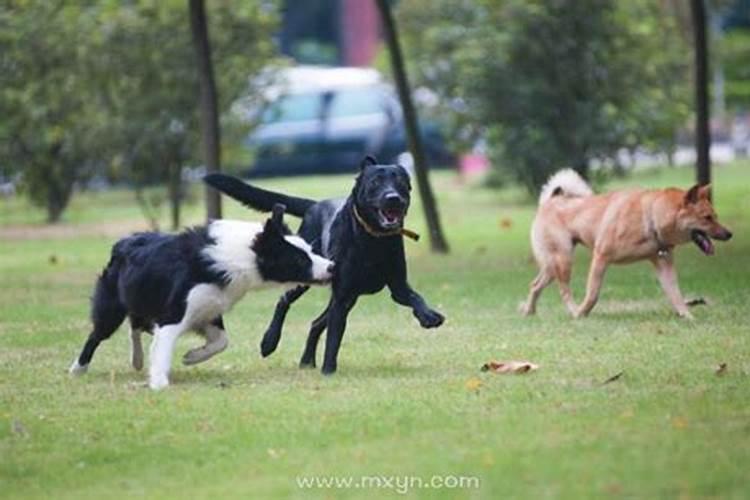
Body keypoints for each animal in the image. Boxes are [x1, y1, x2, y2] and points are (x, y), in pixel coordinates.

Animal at [70, 205, 334, 388]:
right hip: (112, 307)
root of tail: (123, 242)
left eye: (311, 250)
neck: (238, 258)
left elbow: (221, 341)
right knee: (97, 335)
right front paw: (159, 382)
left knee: (136, 326)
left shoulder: (208, 309)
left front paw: (192, 357)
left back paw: (137, 359)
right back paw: (78, 368)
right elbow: (163, 347)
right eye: (300, 259)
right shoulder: (174, 313)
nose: (332, 267)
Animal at [204, 156, 446, 376]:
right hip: (306, 276)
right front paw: (328, 371)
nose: (393, 198)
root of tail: (314, 205)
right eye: (375, 182)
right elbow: (334, 338)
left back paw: (307, 361)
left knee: (316, 323)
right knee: (285, 302)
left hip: (348, 297)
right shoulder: (342, 296)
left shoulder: (397, 286)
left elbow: (415, 298)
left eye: (401, 182)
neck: (373, 240)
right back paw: (269, 342)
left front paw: (428, 316)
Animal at [524, 168, 736, 316]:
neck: (650, 218)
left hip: (552, 265)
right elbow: (593, 294)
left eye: (715, 216)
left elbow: (675, 294)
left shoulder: (664, 265)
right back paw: (573, 311)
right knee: (564, 290)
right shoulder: (600, 257)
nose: (729, 234)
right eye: (707, 218)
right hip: (563, 259)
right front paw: (582, 312)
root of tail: (550, 201)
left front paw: (688, 316)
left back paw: (529, 311)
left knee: (535, 285)